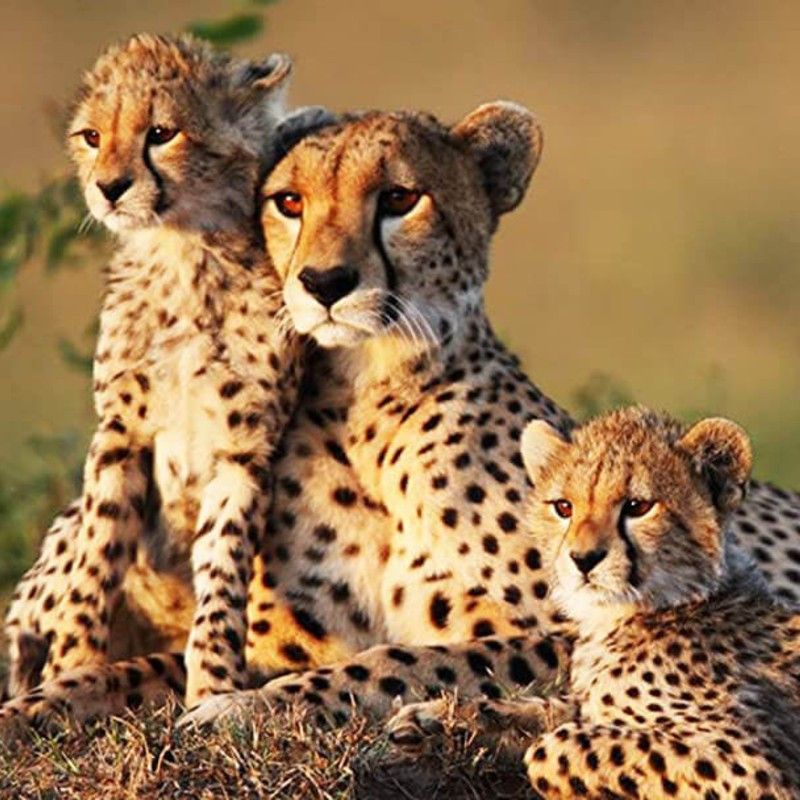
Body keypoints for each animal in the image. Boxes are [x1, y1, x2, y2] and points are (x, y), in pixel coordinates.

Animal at [3, 33, 309, 708]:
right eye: (91, 136)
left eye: (162, 133)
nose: (109, 187)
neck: (181, 249)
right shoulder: (119, 435)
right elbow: (96, 558)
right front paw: (74, 663)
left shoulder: (244, 449)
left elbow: (222, 571)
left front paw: (213, 683)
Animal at [3, 101, 800, 740]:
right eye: (288, 201)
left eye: (398, 197)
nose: (325, 283)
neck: (371, 405)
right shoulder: (273, 641)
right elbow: (136, 669)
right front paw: (36, 707)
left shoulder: (572, 627)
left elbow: (402, 660)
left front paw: (244, 708)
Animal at [391, 407, 800, 798]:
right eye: (563, 507)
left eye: (637, 506)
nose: (583, 559)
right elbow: (544, 710)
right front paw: (435, 719)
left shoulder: (753, 763)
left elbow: (551, 747)